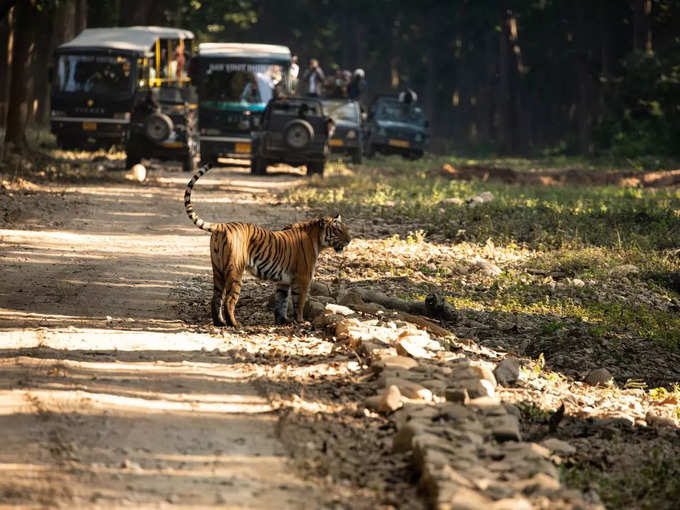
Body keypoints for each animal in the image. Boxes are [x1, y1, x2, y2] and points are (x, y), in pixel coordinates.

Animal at [183, 165, 348, 328]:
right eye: (339, 230)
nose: (349, 240)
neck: (317, 239)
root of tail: (222, 226)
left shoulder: (284, 281)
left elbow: (281, 302)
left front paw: (282, 321)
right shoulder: (303, 278)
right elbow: (299, 302)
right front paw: (301, 321)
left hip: (217, 269)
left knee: (216, 298)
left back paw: (220, 323)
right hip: (235, 270)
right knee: (229, 299)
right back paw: (235, 324)